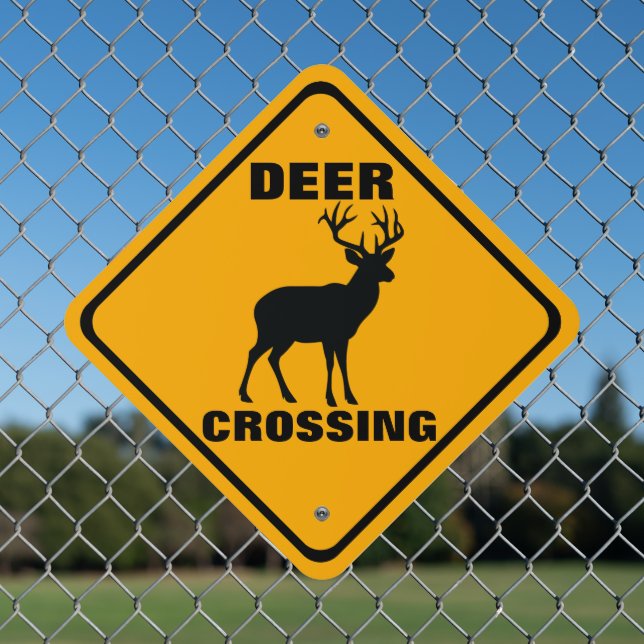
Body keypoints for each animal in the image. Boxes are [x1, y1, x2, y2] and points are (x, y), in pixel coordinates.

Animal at [239, 202, 404, 407]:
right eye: (366, 264)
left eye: (382, 261)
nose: (391, 274)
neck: (351, 306)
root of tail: (256, 307)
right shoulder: (328, 334)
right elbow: (330, 364)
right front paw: (331, 399)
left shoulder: (343, 337)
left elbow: (343, 363)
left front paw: (351, 397)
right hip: (270, 331)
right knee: (254, 352)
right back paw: (245, 395)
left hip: (285, 337)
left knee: (272, 358)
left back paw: (289, 396)